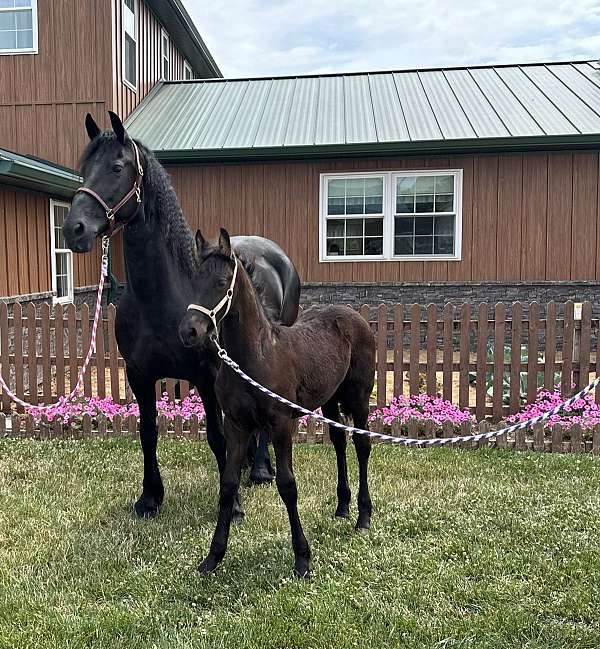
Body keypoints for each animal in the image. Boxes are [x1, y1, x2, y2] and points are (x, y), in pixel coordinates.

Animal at [62, 111, 301, 520]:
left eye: (117, 167)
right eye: (83, 168)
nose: (73, 229)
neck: (162, 298)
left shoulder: (206, 375)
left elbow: (217, 436)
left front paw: (233, 505)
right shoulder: (139, 375)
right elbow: (148, 431)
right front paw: (149, 497)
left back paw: (259, 469)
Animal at [178, 228, 376, 577]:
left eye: (221, 282)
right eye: (194, 281)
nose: (189, 331)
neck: (255, 356)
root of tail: (355, 316)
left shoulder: (281, 425)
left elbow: (287, 485)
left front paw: (302, 558)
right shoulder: (236, 425)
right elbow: (228, 485)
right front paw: (213, 557)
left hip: (359, 398)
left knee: (362, 445)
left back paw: (363, 517)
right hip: (329, 400)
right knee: (339, 441)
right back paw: (342, 507)